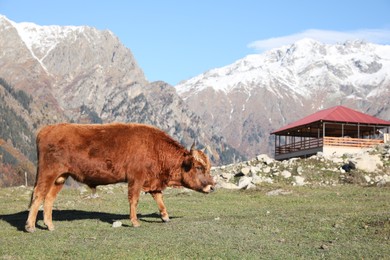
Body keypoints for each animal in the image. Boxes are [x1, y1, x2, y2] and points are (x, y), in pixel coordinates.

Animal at [25, 123, 215, 233]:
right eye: (199, 167)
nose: (212, 187)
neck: (154, 147)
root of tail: (46, 129)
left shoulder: (152, 181)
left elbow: (159, 198)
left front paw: (165, 216)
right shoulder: (136, 179)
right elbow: (134, 200)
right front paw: (135, 222)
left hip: (60, 177)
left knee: (49, 199)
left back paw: (49, 225)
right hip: (48, 173)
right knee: (38, 195)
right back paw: (30, 226)